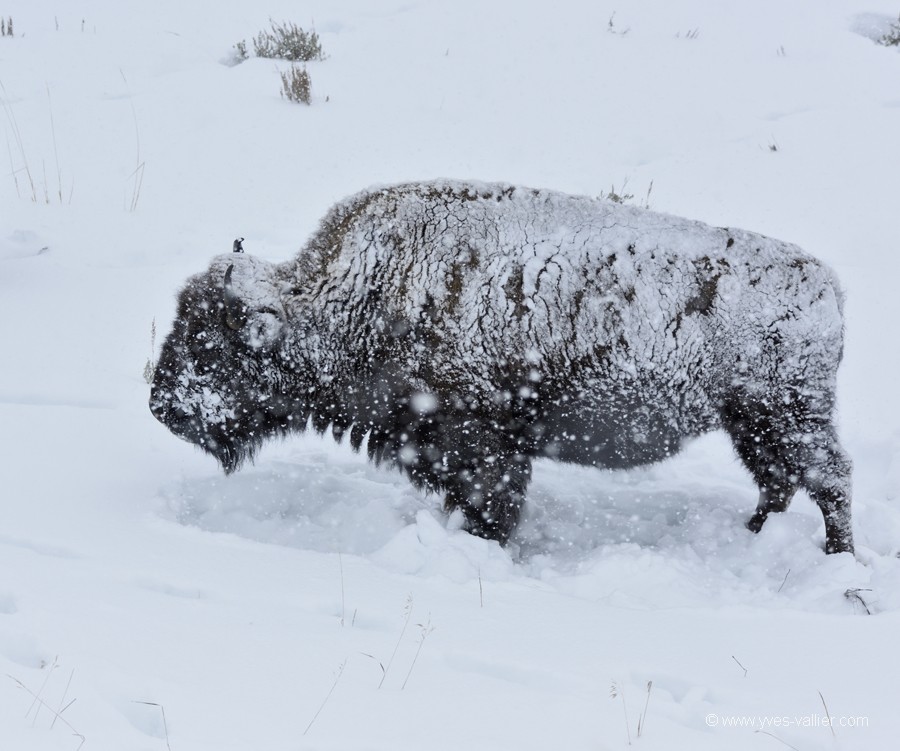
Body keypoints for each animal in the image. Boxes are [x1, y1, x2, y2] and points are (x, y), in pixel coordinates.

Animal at [151, 180, 856, 556]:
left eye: (209, 345)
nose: (162, 406)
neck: (355, 300)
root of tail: (827, 284)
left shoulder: (481, 444)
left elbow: (492, 504)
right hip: (753, 424)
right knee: (779, 481)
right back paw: (755, 535)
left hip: (788, 416)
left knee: (829, 482)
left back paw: (834, 556)